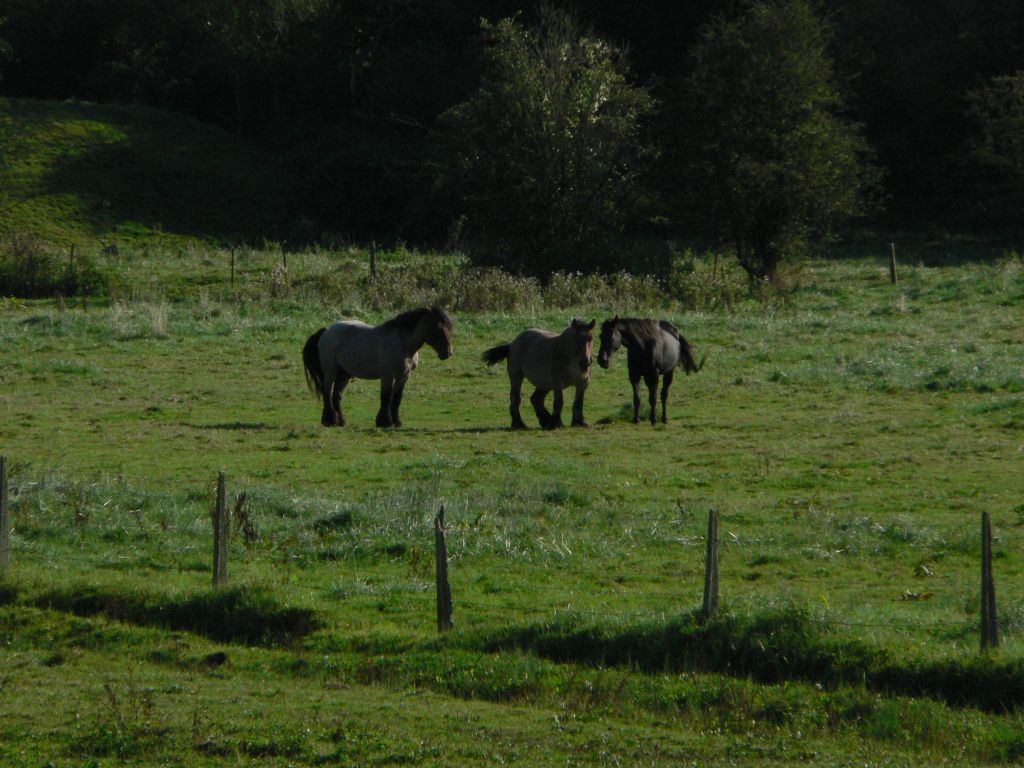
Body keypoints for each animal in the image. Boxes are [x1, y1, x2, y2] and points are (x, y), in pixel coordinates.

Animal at [299, 305, 452, 428]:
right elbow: (386, 397)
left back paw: (341, 421)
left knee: (337, 395)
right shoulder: (388, 375)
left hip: (344, 374)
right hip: (331, 371)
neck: (402, 343)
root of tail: (326, 331)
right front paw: (385, 422)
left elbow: (397, 398)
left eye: (448, 328)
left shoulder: (404, 376)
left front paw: (396, 422)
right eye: (437, 328)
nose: (448, 353)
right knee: (327, 392)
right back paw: (330, 421)